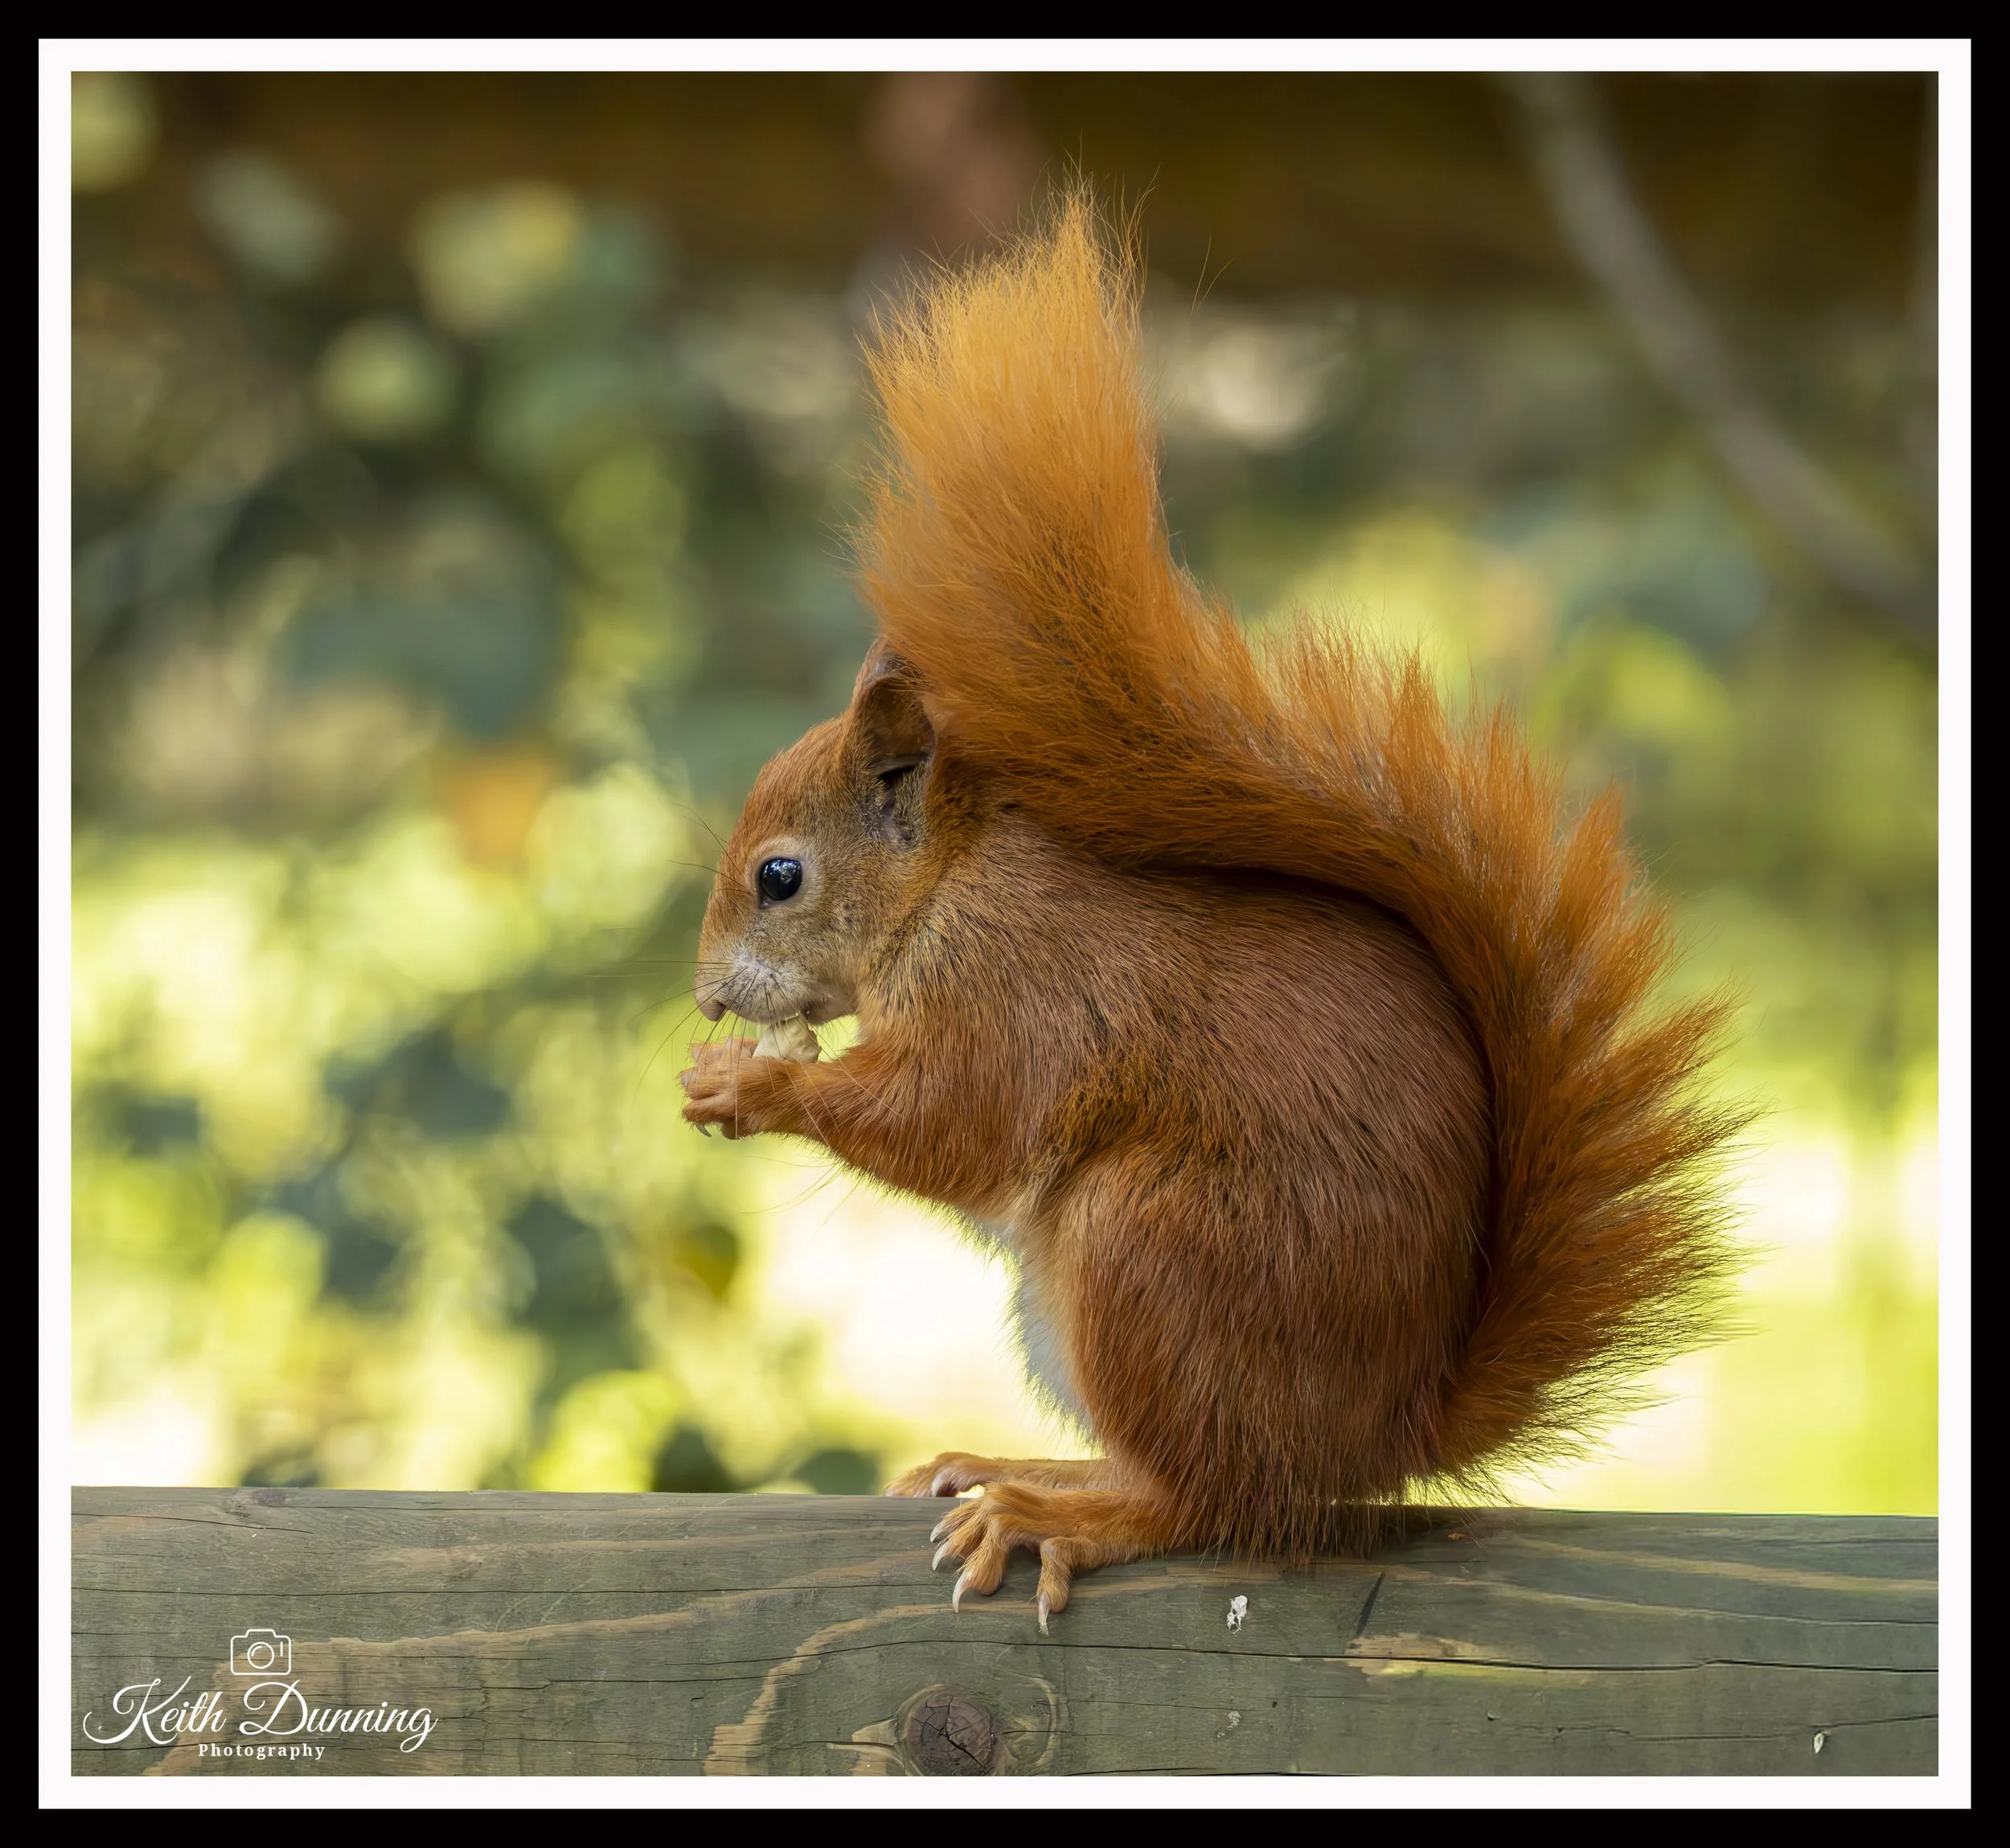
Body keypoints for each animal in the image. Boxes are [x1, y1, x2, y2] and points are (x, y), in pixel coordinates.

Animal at [678, 196, 1743, 1631]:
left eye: (780, 877)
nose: (707, 991)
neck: (950, 884)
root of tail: (1386, 1426)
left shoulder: (1021, 984)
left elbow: (953, 1118)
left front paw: (754, 1085)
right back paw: (1018, 1465)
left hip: (1156, 1249)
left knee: (1215, 1500)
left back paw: (1061, 1511)